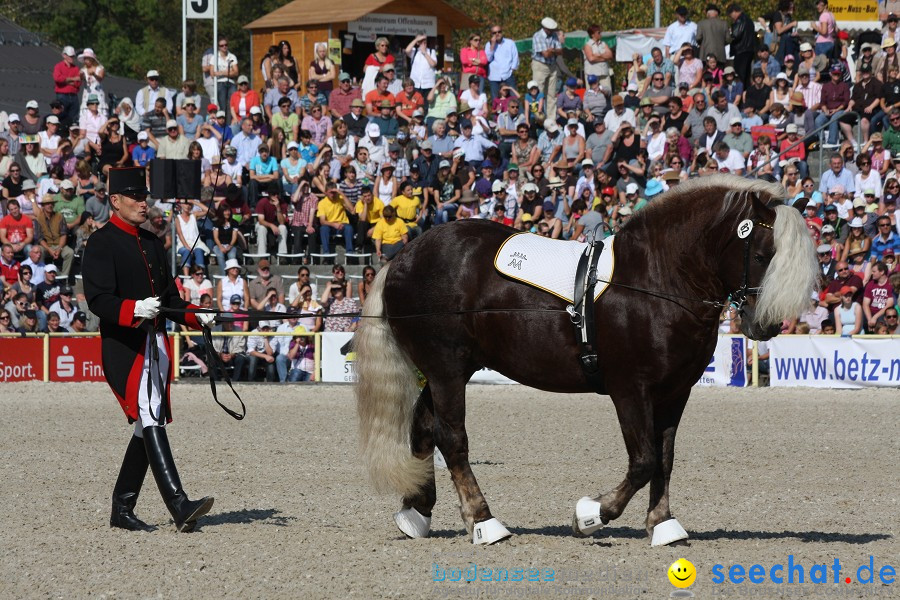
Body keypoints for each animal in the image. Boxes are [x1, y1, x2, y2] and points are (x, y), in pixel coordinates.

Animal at [356, 176, 820, 548]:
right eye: (760, 255)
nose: (766, 324)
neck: (655, 278)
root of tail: (403, 257)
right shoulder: (630, 389)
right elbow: (644, 460)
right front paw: (590, 515)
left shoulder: (675, 392)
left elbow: (664, 458)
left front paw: (663, 525)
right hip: (446, 370)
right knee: (451, 438)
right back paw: (485, 523)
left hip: (448, 371)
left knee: (424, 428)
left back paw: (417, 513)